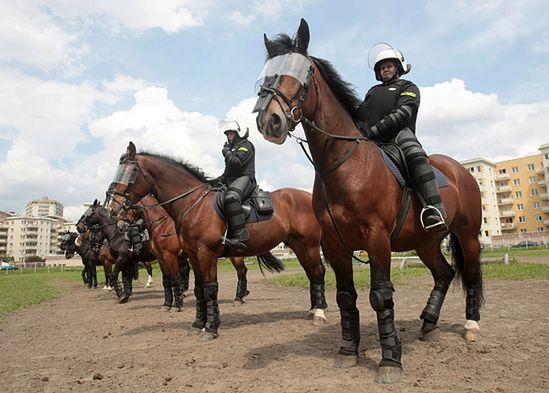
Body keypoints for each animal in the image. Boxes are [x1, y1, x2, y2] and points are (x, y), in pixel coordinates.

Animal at [109, 142, 328, 338]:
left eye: (129, 172)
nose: (113, 209)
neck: (193, 204)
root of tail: (308, 196)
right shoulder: (193, 255)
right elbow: (199, 289)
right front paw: (198, 324)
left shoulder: (204, 254)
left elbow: (209, 288)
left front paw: (211, 328)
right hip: (298, 246)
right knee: (311, 272)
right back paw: (313, 308)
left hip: (309, 245)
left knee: (317, 271)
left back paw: (319, 312)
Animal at [254, 19, 484, 382]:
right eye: (266, 74)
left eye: (303, 71)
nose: (269, 121)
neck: (345, 164)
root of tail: (461, 170)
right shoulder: (334, 243)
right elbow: (346, 296)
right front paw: (348, 351)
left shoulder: (376, 238)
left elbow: (380, 295)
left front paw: (390, 360)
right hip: (425, 242)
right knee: (444, 274)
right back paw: (428, 323)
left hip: (468, 235)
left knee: (471, 274)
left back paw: (471, 325)